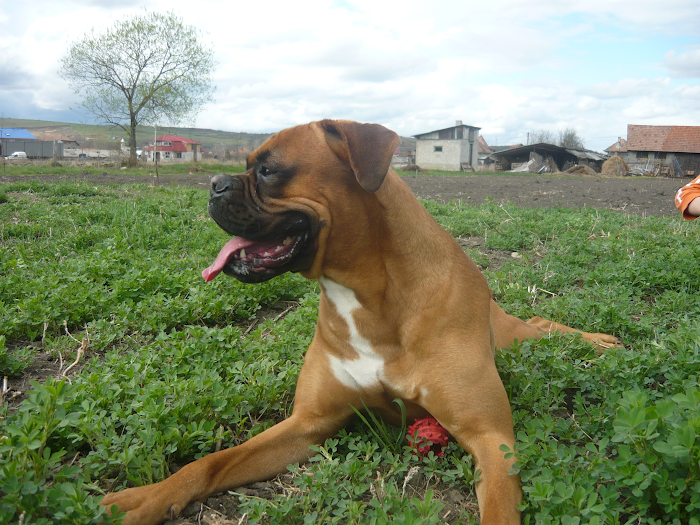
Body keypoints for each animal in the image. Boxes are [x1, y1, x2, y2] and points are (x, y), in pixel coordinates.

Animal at [101, 120, 620, 524]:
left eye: (268, 170)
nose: (212, 183)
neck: (368, 295)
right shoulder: (308, 424)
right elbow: (210, 463)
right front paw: (145, 498)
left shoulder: (492, 441)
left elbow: (497, 511)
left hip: (514, 338)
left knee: (541, 322)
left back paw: (601, 341)